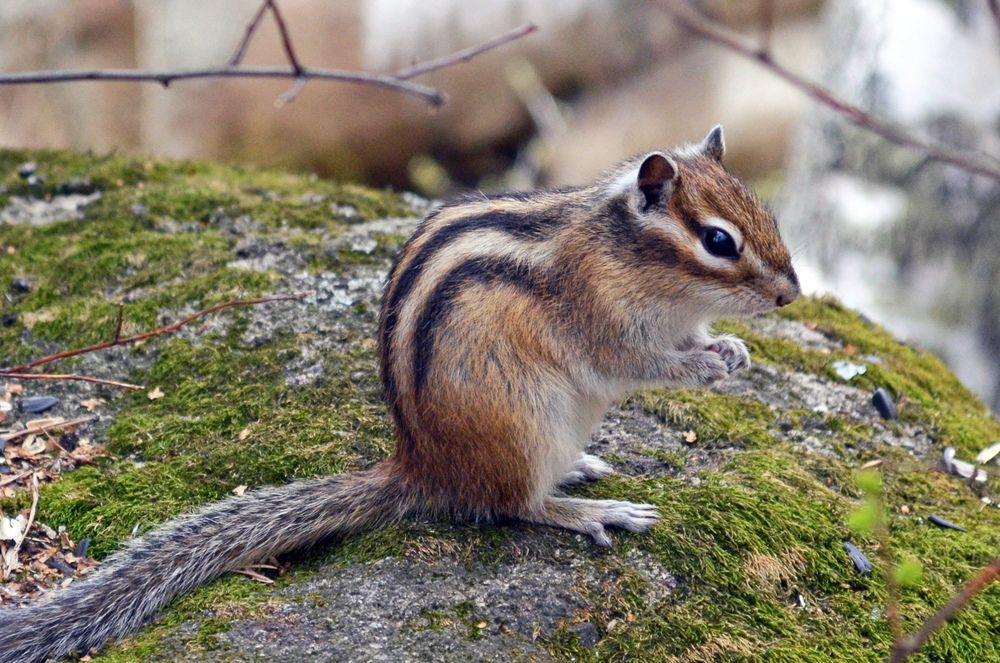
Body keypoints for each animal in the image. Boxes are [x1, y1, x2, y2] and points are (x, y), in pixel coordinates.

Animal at [0, 126, 799, 662]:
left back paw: (580, 467)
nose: (791, 294)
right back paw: (587, 508)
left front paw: (731, 349)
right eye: (720, 241)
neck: (630, 259)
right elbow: (639, 363)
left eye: (766, 215)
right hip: (527, 423)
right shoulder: (601, 321)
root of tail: (423, 467)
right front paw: (706, 368)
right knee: (515, 504)